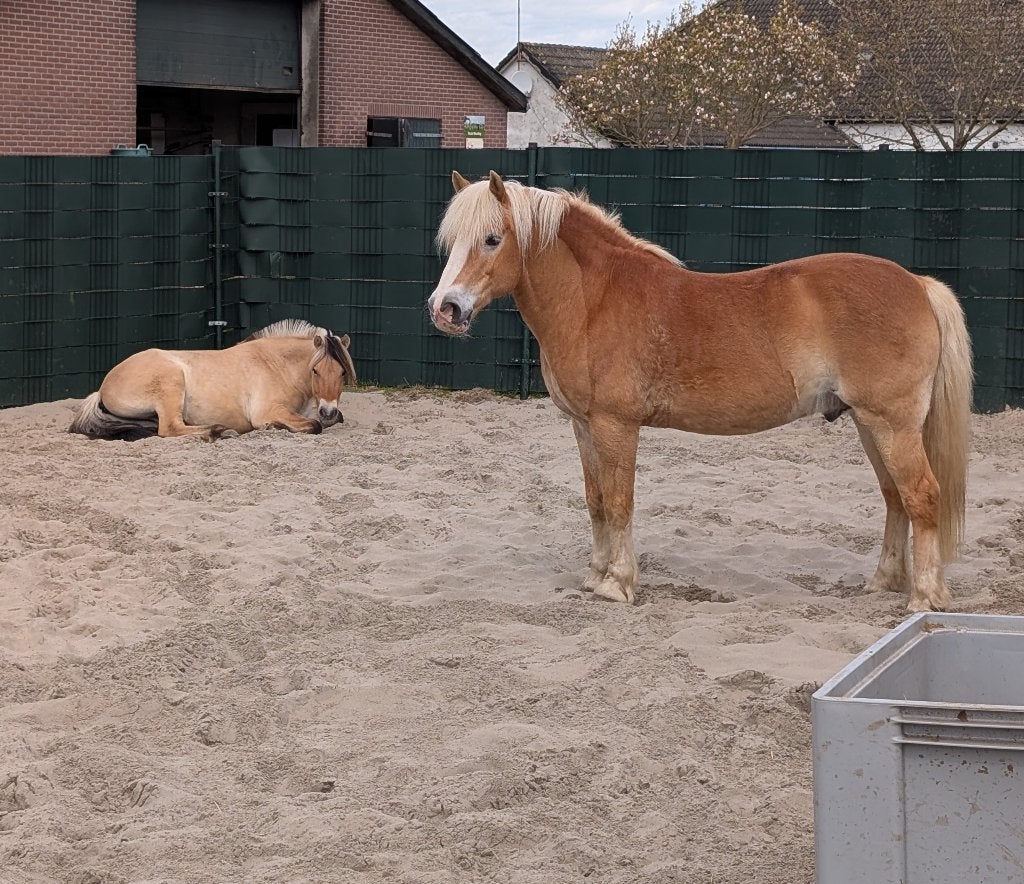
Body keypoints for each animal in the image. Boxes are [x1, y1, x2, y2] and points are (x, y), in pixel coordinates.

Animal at [69, 319, 357, 442]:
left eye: (342, 373)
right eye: (316, 371)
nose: (328, 410)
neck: (275, 363)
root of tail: (102, 389)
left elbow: (329, 421)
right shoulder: (268, 410)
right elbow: (314, 426)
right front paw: (274, 427)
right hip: (171, 385)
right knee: (170, 429)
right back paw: (218, 431)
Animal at [428, 171, 973, 613]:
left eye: (492, 239)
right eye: (452, 241)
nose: (445, 308)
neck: (595, 300)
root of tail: (918, 284)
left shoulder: (615, 425)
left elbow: (620, 501)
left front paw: (618, 585)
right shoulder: (583, 425)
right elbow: (596, 500)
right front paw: (595, 577)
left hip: (891, 423)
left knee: (922, 496)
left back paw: (925, 598)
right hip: (868, 422)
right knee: (895, 497)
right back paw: (884, 582)